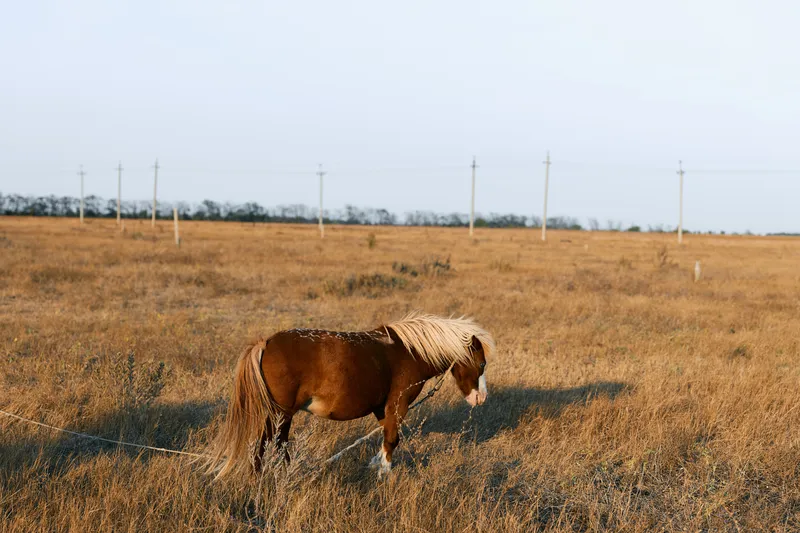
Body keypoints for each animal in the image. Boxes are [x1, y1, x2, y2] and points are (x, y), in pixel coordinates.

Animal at [208, 312, 495, 478]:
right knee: (269, 445)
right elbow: (392, 440)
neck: (410, 351)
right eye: (482, 364)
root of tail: (265, 343)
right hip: (280, 414)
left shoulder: (382, 409)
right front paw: (384, 475)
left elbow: (385, 438)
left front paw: (376, 466)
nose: (481, 398)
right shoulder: (398, 404)